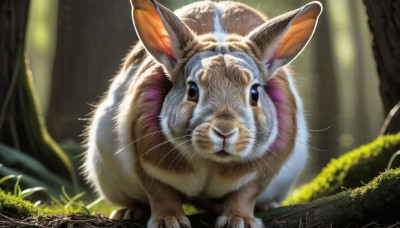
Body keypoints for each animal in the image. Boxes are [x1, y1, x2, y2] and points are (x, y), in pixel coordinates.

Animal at [83, 0, 322, 226]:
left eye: (254, 93)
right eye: (192, 90)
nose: (224, 131)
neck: (211, 162)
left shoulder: (261, 175)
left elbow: (245, 195)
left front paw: (239, 220)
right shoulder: (146, 166)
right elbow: (161, 194)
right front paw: (168, 221)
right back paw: (129, 212)